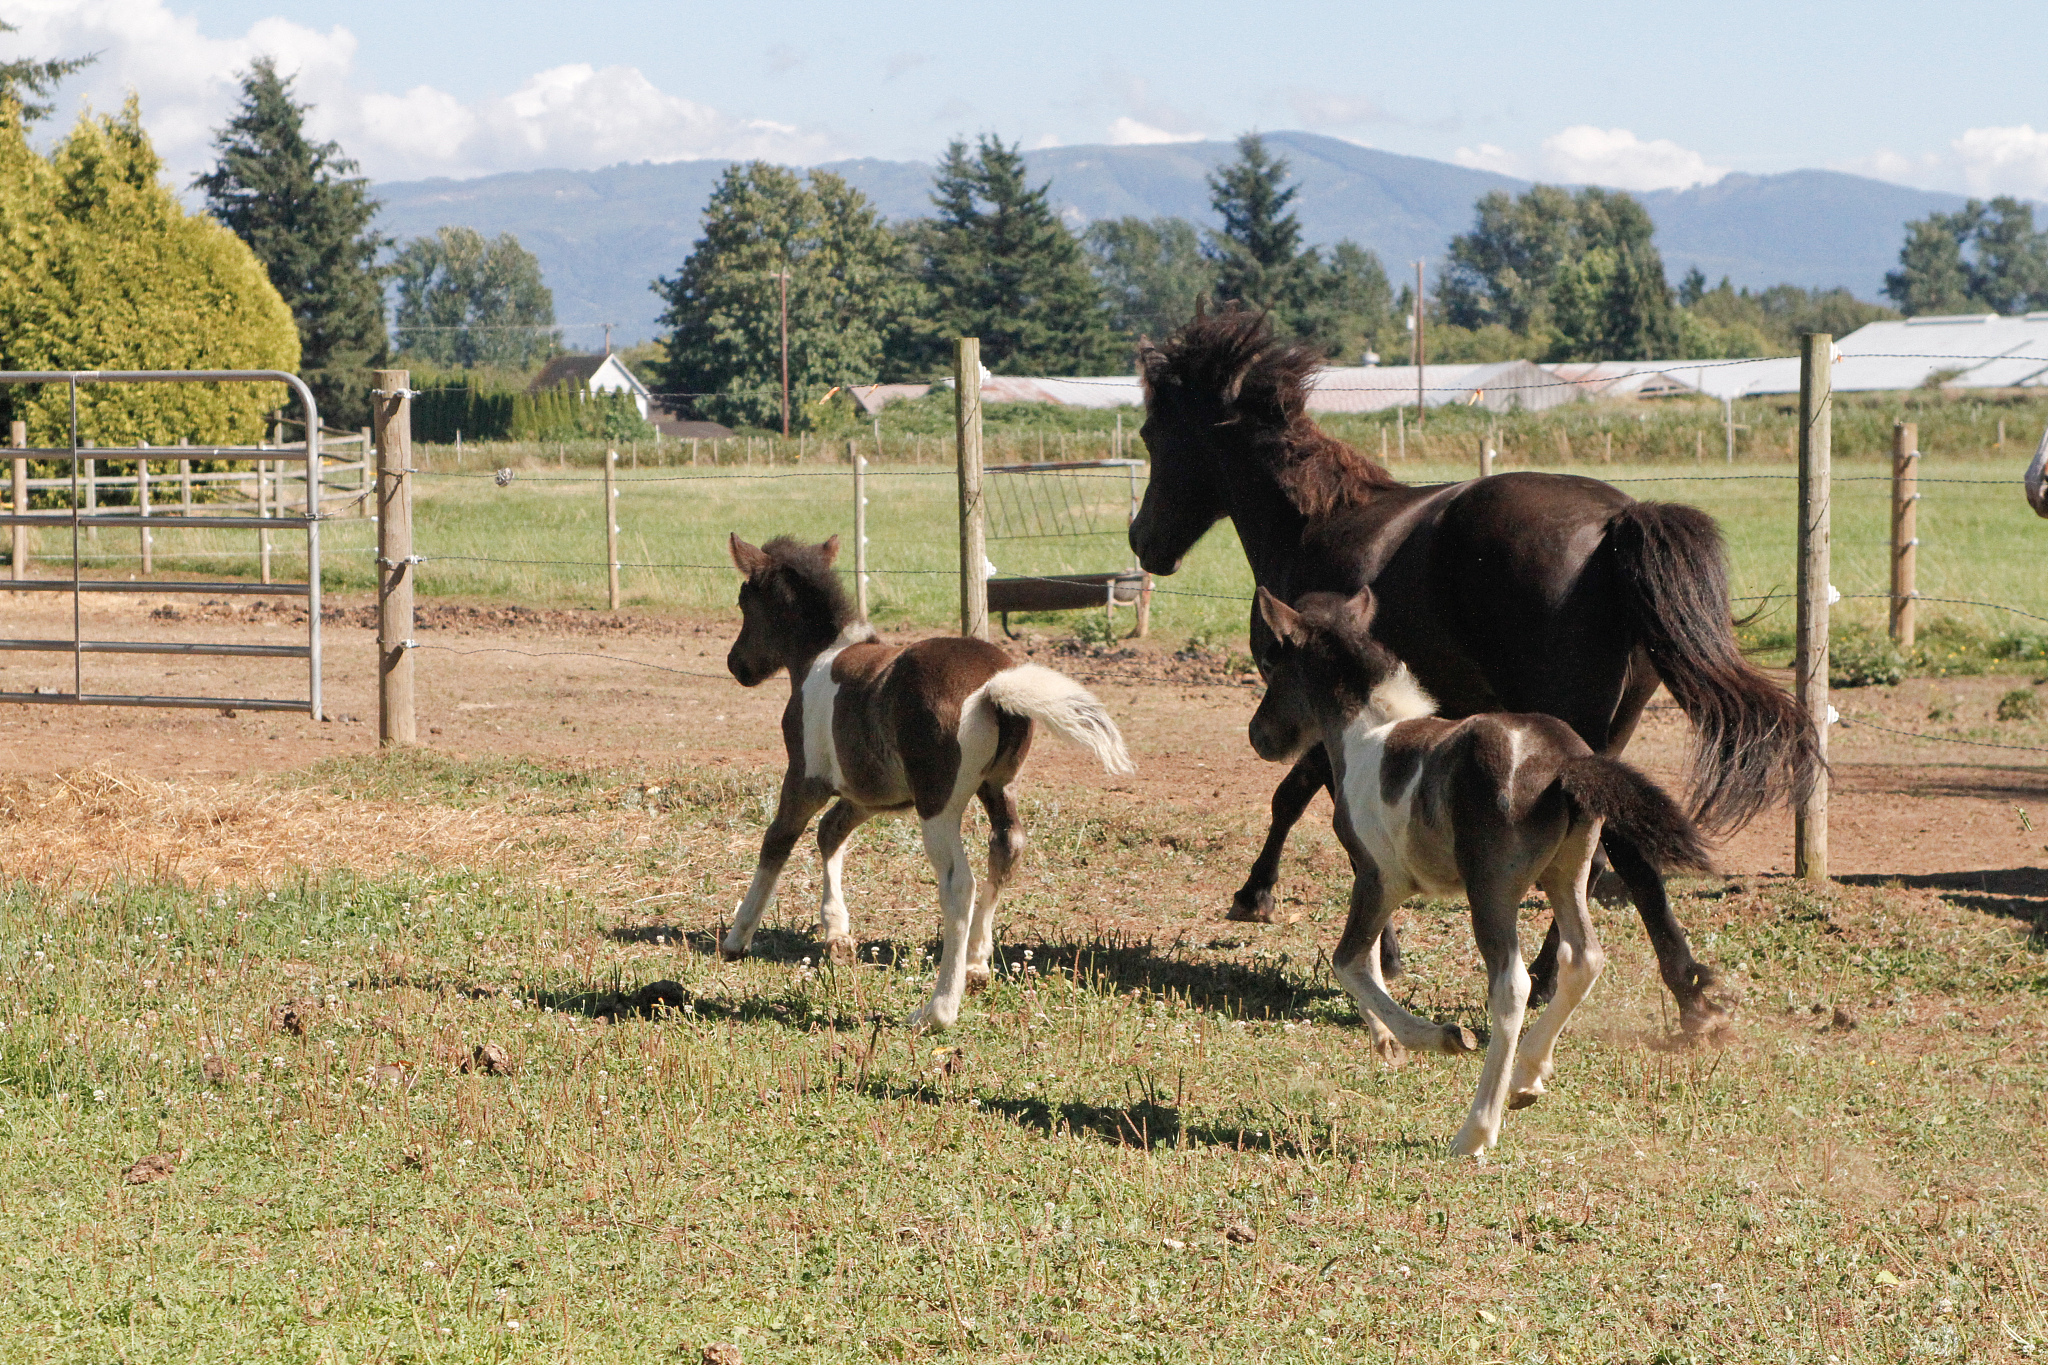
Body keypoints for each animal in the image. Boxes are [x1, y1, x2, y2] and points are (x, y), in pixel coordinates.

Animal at [722, 533, 1136, 1031]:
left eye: (745, 601)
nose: (736, 664)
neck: (817, 659)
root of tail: (995, 689)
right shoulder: (873, 793)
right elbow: (830, 833)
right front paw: (837, 933)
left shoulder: (805, 777)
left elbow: (778, 840)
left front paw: (737, 938)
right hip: (999, 786)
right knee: (1007, 847)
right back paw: (976, 966)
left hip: (939, 804)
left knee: (959, 884)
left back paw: (938, 1009)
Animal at [1129, 308, 1816, 1033]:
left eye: (1152, 434)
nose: (1143, 542)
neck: (1315, 524)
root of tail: (1617, 521)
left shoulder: (1322, 706)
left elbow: (1299, 797)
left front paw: (1265, 899)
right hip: (1610, 727)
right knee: (1606, 832)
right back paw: (1634, 983)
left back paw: (1598, 982)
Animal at [1248, 585, 1712, 1154]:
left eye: (1273, 664)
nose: (1258, 735)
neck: (1369, 732)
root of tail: (1565, 765)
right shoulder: (1379, 881)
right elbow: (1372, 958)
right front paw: (1386, 1041)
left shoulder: (1378, 875)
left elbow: (1350, 962)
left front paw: (1439, 1037)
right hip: (1566, 875)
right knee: (1584, 958)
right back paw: (1526, 1079)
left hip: (1491, 892)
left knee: (1511, 986)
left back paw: (1476, 1129)